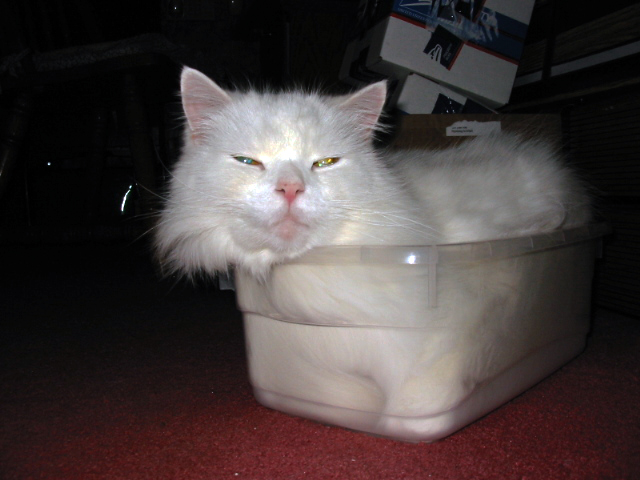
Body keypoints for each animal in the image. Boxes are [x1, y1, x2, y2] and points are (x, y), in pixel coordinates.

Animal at [155, 67, 596, 442]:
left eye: (325, 163)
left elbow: (420, 403)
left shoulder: (466, 319)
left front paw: (396, 421)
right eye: (248, 162)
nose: (290, 189)